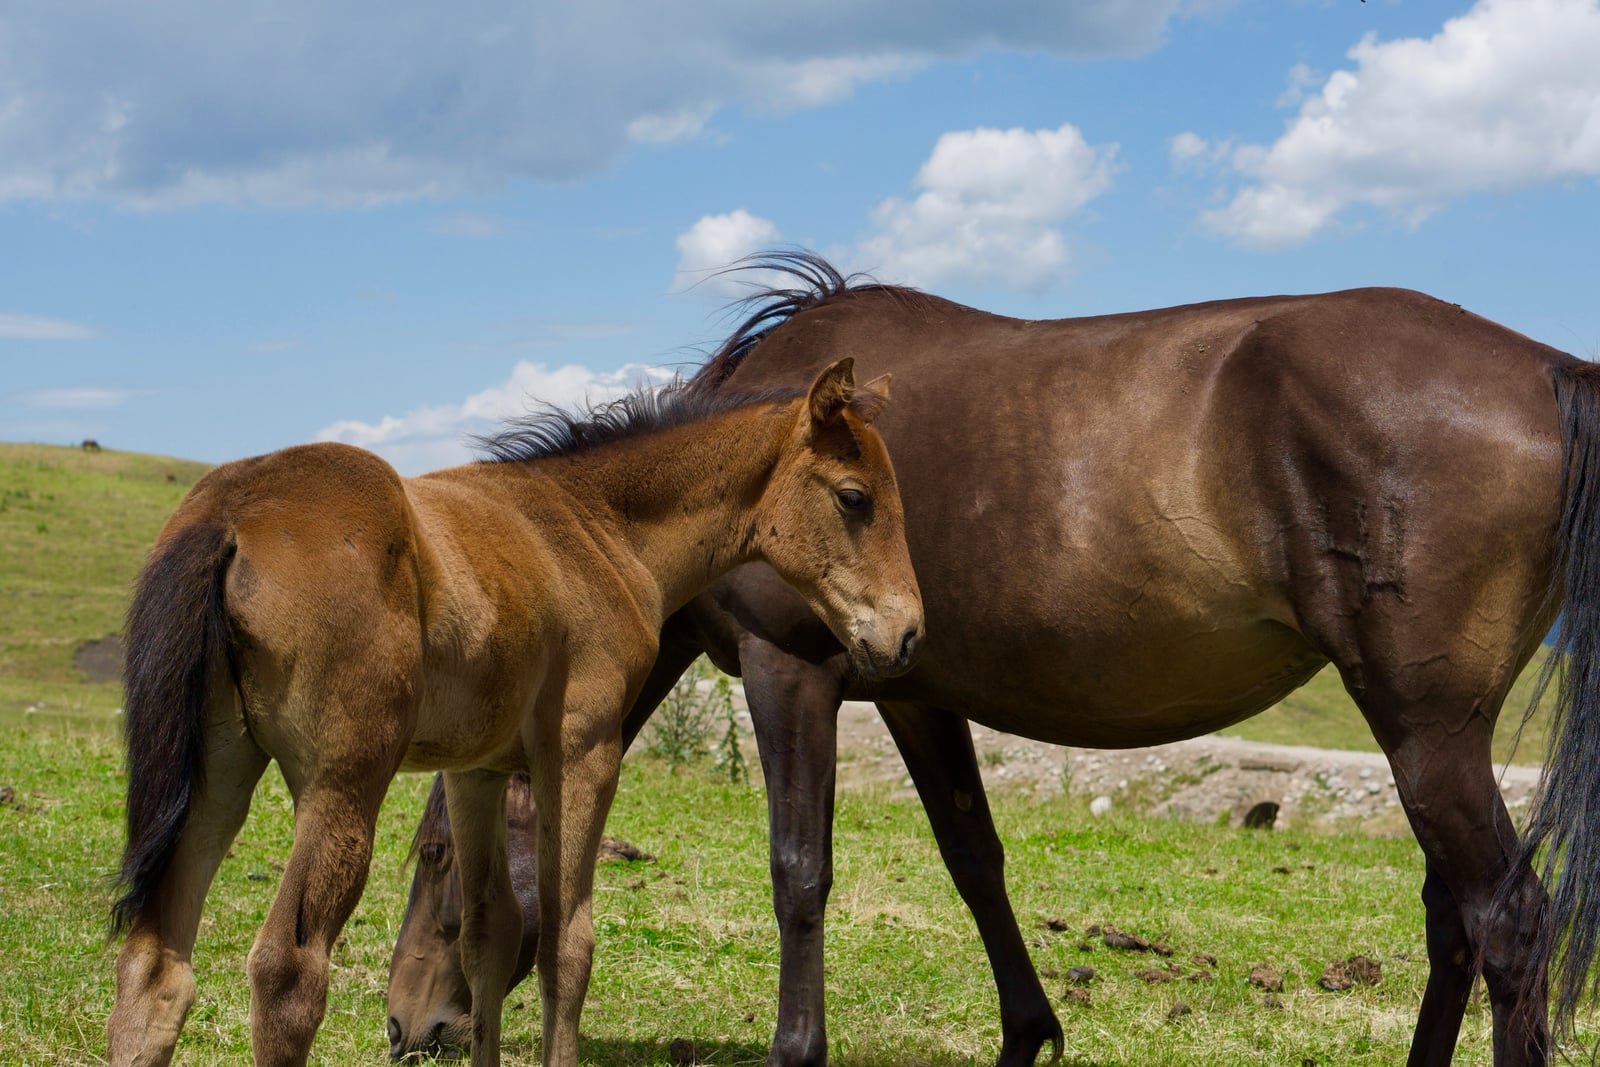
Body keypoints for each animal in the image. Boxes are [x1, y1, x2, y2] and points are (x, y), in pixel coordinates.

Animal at [105, 358, 923, 1067]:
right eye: (854, 497)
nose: (909, 633)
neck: (598, 528)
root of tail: (231, 513)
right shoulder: (583, 753)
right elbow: (567, 939)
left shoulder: (478, 772)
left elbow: (489, 935)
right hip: (342, 784)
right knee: (288, 969)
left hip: (216, 777)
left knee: (154, 968)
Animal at [386, 252, 1600, 1067]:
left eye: (432, 854)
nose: (406, 1021)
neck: (756, 471)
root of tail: (1550, 365)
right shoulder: (916, 692)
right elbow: (976, 861)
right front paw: (1027, 1032)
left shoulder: (792, 672)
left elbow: (798, 870)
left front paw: (795, 1045)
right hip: (1430, 738)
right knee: (1456, 925)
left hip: (1424, 731)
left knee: (1508, 926)